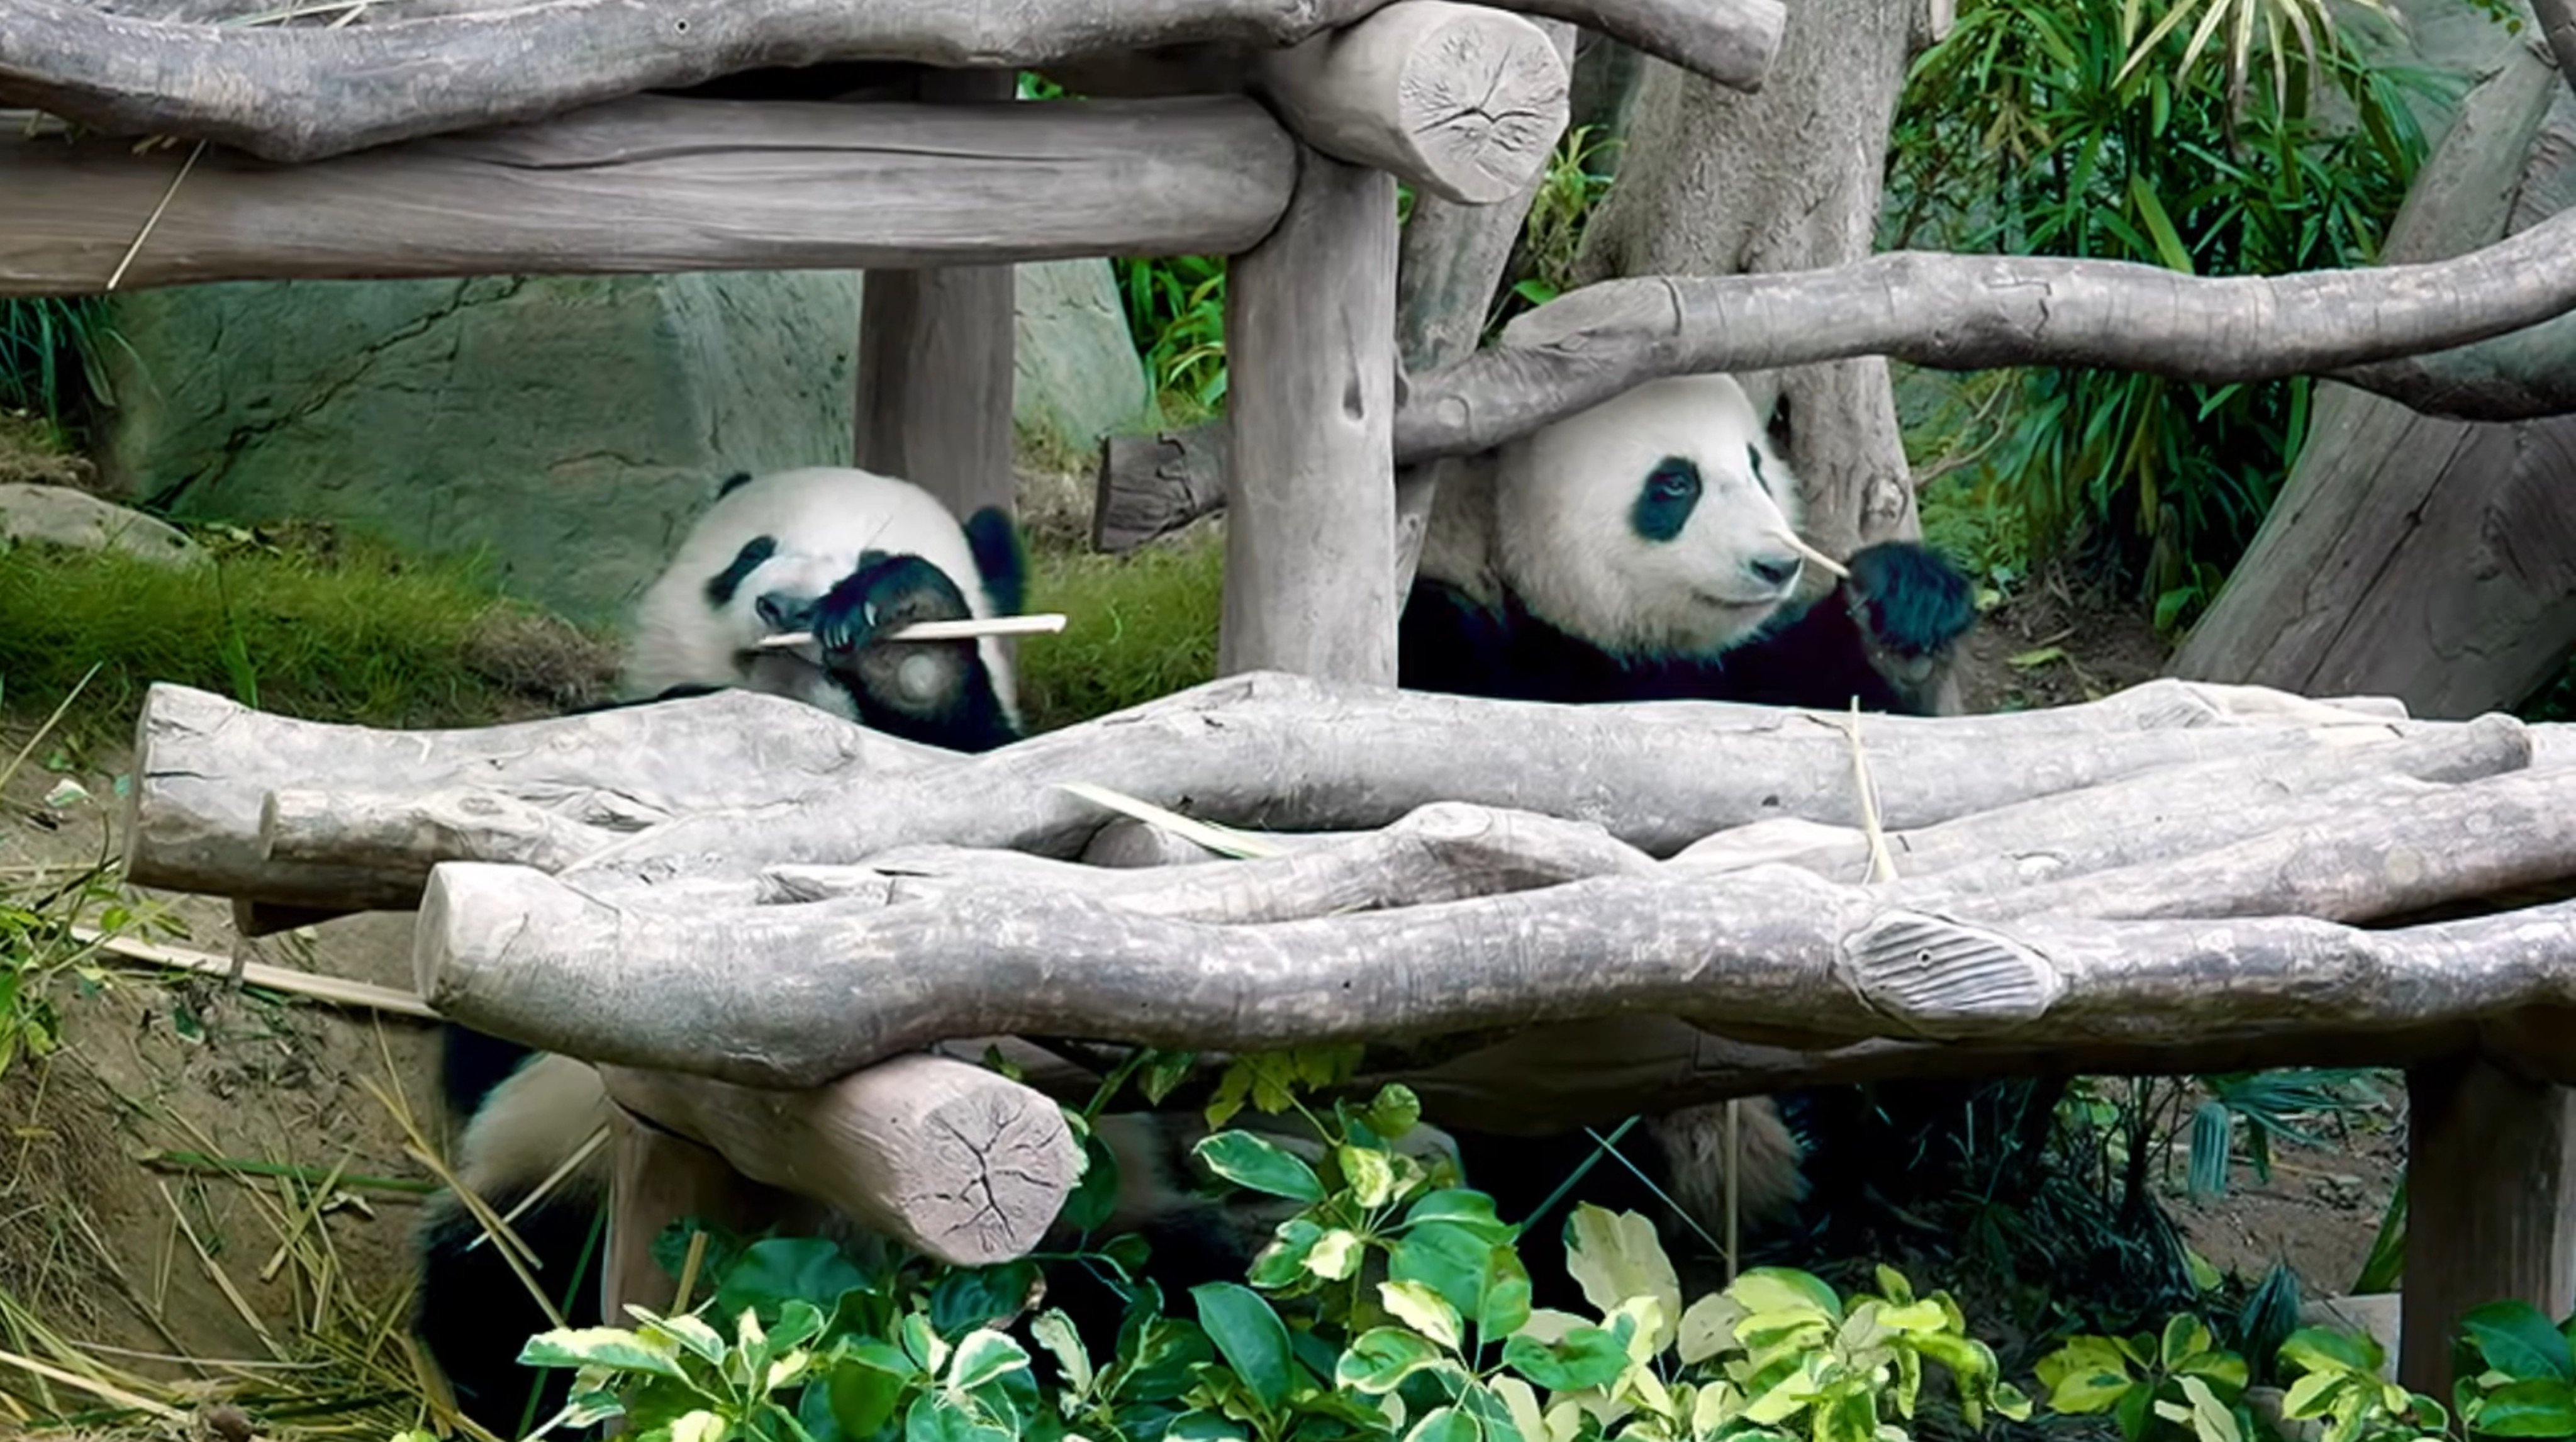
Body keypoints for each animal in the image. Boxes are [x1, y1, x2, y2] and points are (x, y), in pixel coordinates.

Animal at [415, 467, 1351, 1436]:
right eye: (750, 552)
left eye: (871, 555)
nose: (787, 604)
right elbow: (498, 1028)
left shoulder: (996, 774)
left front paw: (904, 635)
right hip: (555, 1176)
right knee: (509, 1284)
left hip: (1100, 1219)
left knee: (1159, 1284)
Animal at [1395, 372, 1979, 1305]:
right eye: (1673, 484)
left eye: (1755, 461)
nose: (1777, 563)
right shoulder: (1447, 637)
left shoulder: (1726, 680)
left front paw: (1901, 608)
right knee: (1554, 1141)